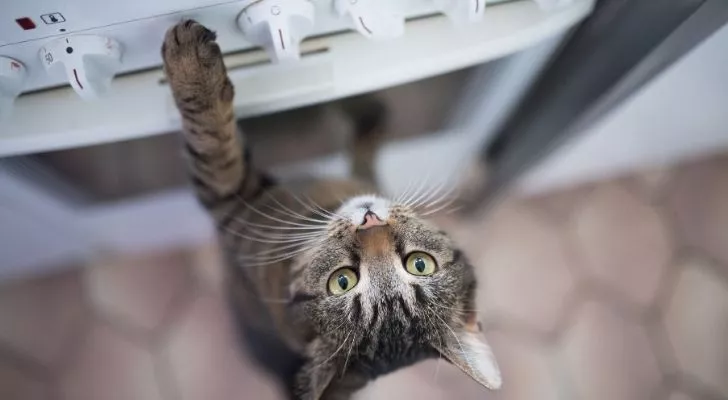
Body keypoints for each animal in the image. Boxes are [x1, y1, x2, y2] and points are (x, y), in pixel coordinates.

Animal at [161, 19, 500, 400]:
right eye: (421, 264)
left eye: (342, 281)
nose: (370, 221)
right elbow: (368, 140)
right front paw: (362, 101)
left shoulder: (233, 199)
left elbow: (212, 142)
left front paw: (190, 67)